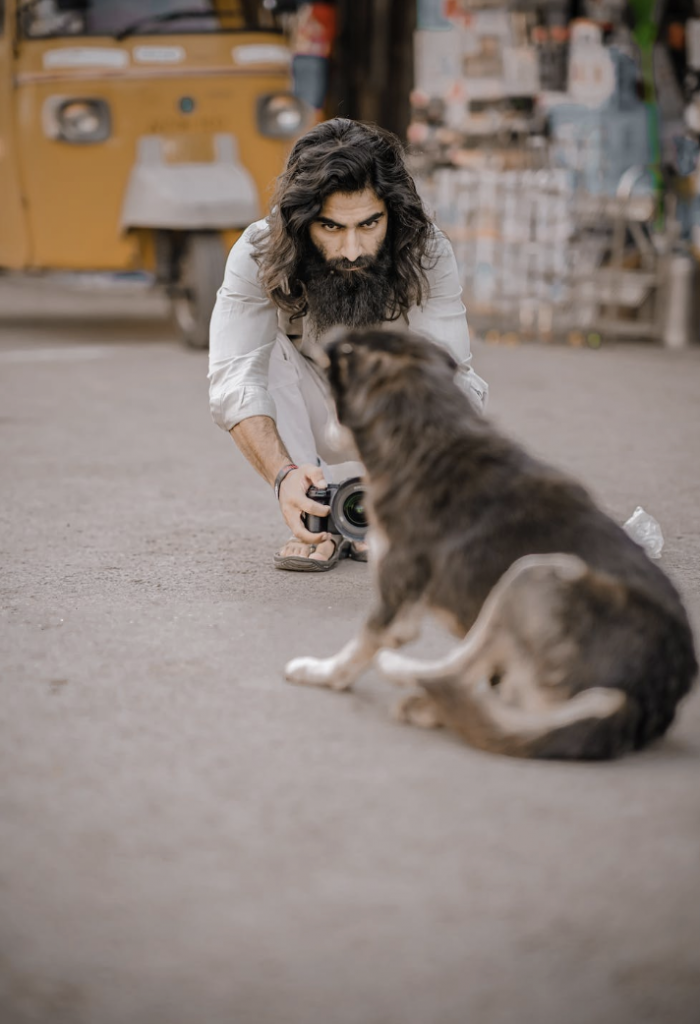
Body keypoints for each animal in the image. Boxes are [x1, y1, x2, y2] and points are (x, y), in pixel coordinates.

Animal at [284, 329, 695, 761]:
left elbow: (359, 648)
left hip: (534, 573)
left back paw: (405, 675)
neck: (427, 437)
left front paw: (321, 672)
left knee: (458, 675)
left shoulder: (395, 607)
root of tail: (646, 700)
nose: (308, 336)